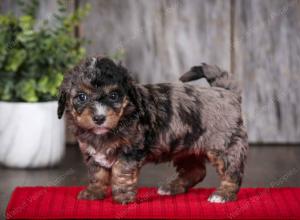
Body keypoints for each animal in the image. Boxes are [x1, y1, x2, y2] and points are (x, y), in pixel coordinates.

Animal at [57, 57, 247, 205]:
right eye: (82, 97)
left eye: (114, 96)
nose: (99, 118)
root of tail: (226, 92)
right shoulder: (93, 154)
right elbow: (97, 174)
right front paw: (94, 192)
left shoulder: (130, 152)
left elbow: (121, 173)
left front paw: (123, 197)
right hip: (185, 148)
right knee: (196, 171)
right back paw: (172, 188)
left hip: (224, 146)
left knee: (232, 173)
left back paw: (223, 195)